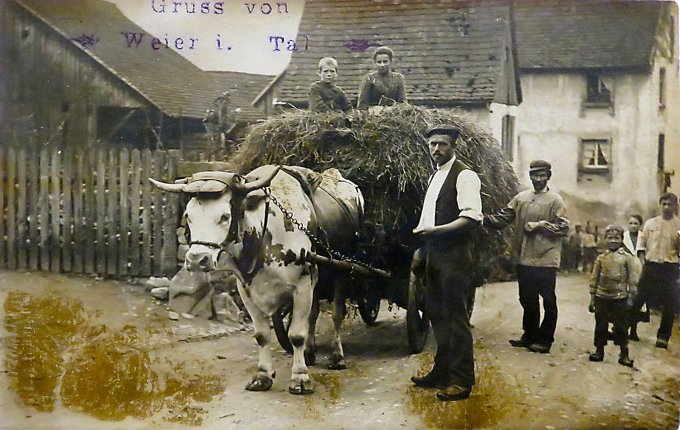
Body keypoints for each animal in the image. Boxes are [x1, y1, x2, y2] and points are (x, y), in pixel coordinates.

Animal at [151, 166, 364, 394]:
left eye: (225, 216)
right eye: (188, 216)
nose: (196, 260)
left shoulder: (302, 285)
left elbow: (296, 334)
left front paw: (300, 377)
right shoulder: (246, 289)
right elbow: (262, 335)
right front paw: (263, 375)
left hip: (342, 270)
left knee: (337, 313)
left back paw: (336, 356)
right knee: (314, 314)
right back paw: (309, 352)